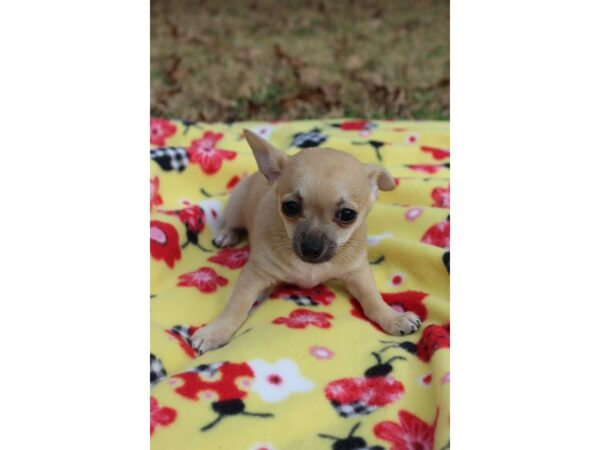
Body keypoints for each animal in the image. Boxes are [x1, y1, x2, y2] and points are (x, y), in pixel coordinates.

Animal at [192, 128, 422, 354]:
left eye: (347, 215)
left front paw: (392, 316)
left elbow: (372, 298)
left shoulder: (358, 273)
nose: (311, 249)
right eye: (290, 207)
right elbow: (236, 307)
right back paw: (226, 235)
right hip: (237, 206)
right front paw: (216, 332)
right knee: (232, 223)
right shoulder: (254, 275)